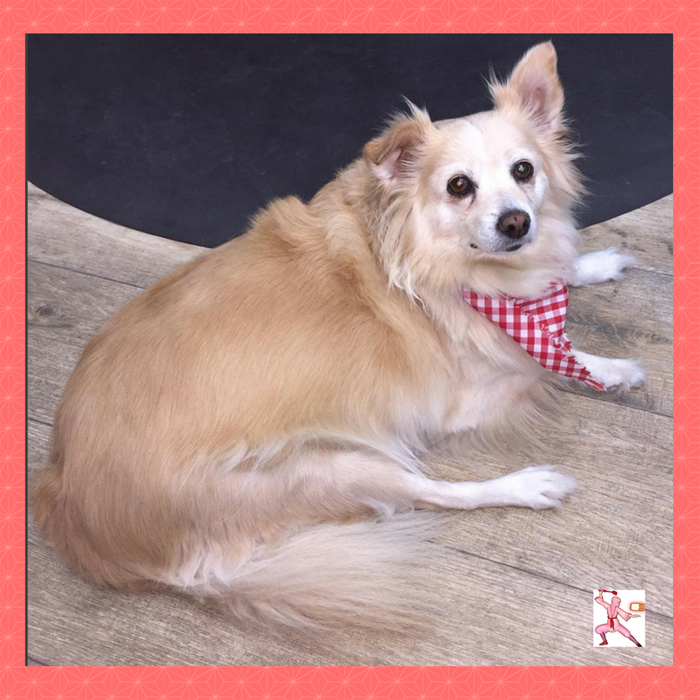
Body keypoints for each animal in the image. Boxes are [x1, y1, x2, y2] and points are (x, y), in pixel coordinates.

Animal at [32, 42, 645, 631]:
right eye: (459, 187)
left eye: (523, 170)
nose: (516, 222)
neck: (422, 253)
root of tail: (71, 512)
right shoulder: (469, 396)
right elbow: (543, 356)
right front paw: (611, 367)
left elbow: (556, 279)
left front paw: (590, 264)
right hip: (334, 466)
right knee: (438, 494)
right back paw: (526, 486)